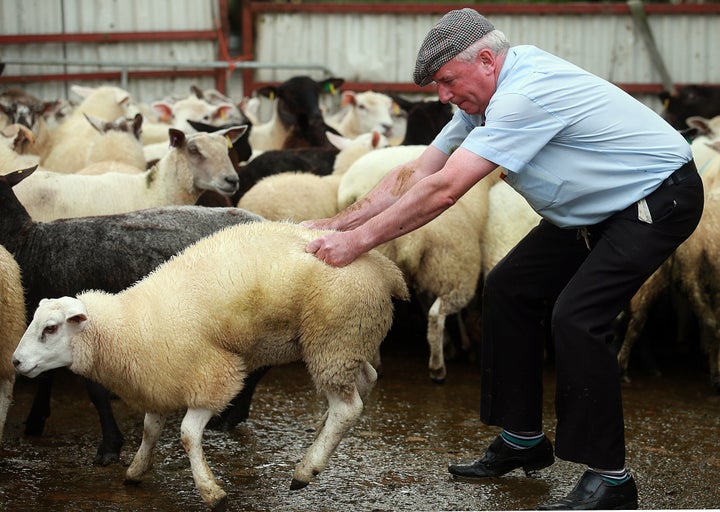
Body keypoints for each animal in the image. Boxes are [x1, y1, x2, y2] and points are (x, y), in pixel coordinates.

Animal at [11, 222, 408, 510]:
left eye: (50, 328)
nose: (15, 361)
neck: (131, 325)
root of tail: (385, 268)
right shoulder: (160, 378)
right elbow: (151, 430)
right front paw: (136, 470)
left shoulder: (212, 375)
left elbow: (187, 434)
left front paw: (210, 491)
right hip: (347, 341)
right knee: (364, 381)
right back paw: (321, 433)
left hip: (334, 336)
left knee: (348, 407)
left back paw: (306, 469)